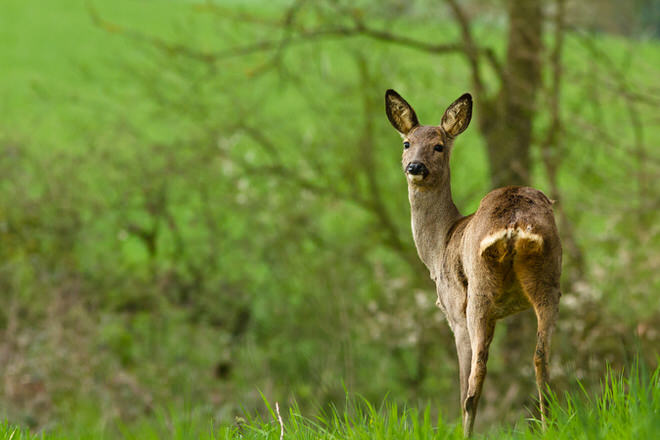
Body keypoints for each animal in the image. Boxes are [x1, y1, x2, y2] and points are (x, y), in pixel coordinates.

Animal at [386, 90, 564, 436]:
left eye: (439, 145)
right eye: (406, 143)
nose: (415, 166)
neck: (439, 245)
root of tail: (514, 224)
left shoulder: (454, 310)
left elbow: (462, 379)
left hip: (479, 293)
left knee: (474, 379)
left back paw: (466, 431)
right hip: (549, 278)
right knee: (541, 359)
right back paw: (547, 426)